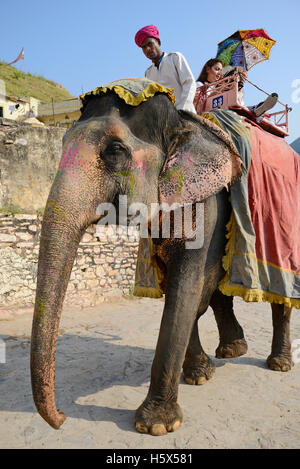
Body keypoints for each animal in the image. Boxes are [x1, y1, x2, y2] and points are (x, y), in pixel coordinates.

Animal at [31, 79, 296, 436]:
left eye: (115, 151)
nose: (61, 417)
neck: (183, 122)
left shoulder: (207, 202)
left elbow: (188, 287)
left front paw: (155, 424)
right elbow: (184, 289)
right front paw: (199, 375)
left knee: (278, 290)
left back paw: (278, 364)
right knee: (217, 290)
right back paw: (231, 350)